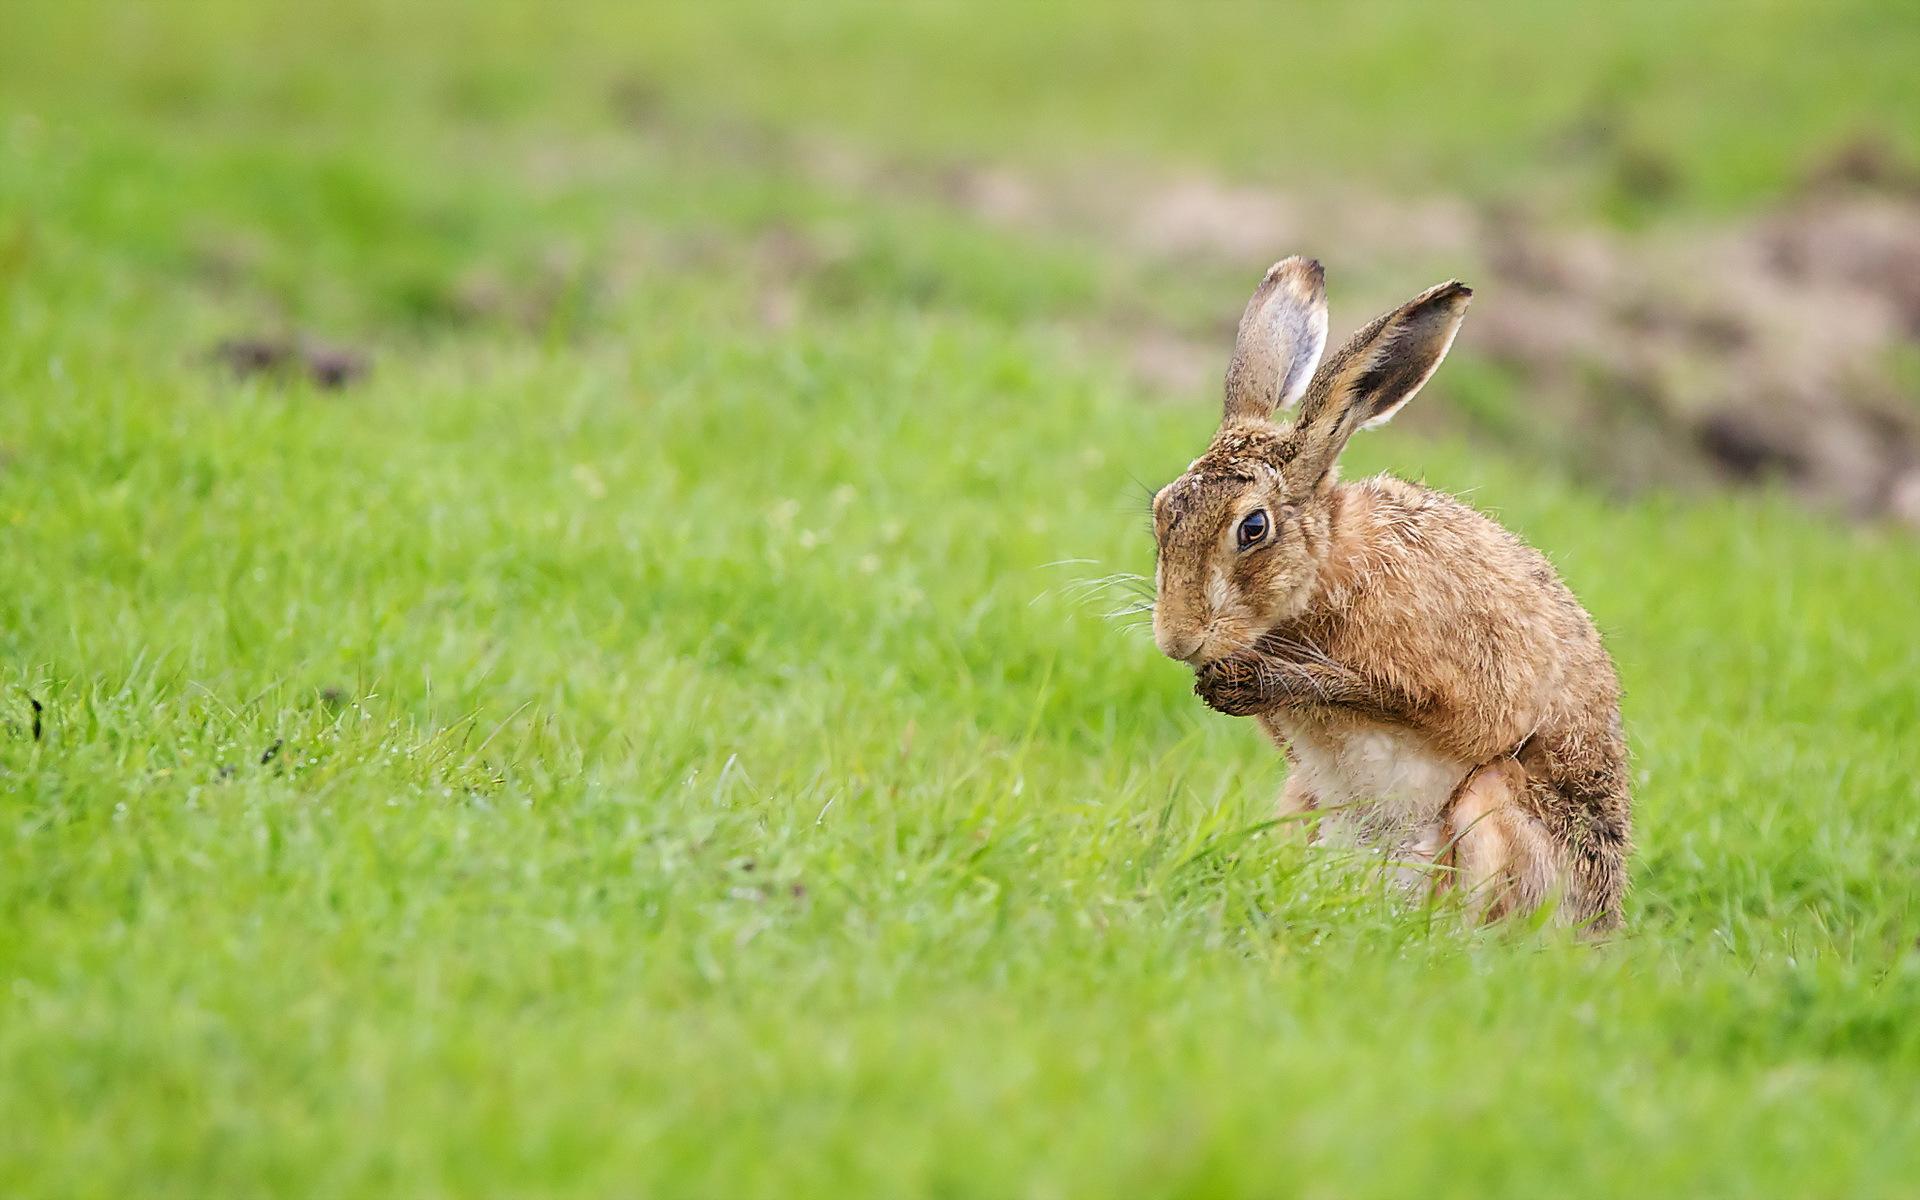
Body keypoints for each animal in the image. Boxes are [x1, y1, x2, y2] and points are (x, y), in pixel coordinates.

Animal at [1150, 257, 1631, 929]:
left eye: (1253, 528)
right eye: (1162, 510)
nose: (1176, 638)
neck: (1329, 566)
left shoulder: (1455, 678)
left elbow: (1389, 696)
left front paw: (1256, 681)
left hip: (1492, 802)